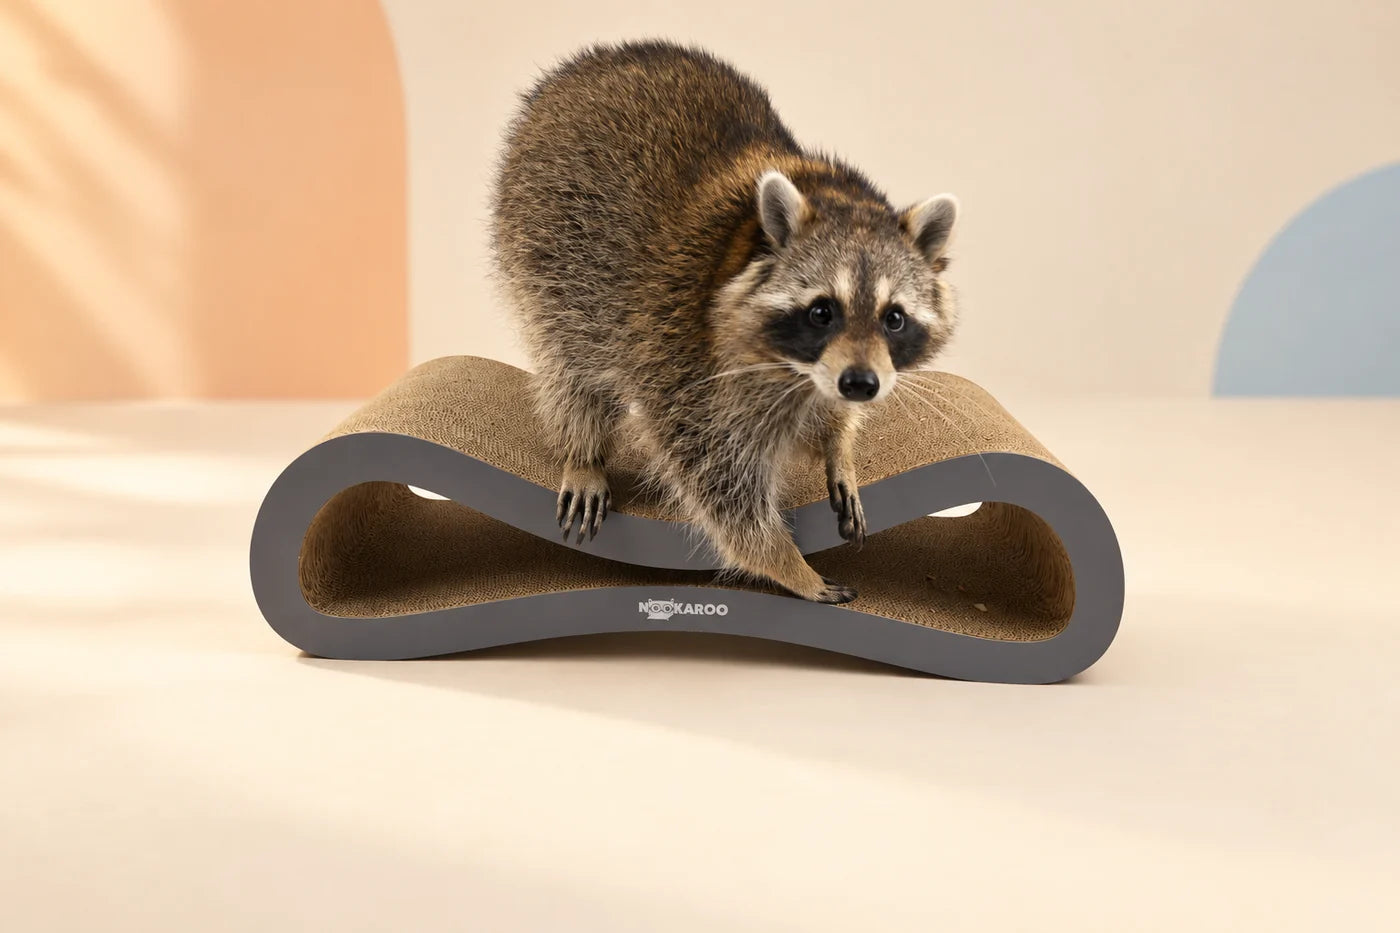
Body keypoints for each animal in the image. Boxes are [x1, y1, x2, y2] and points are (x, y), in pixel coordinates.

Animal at [491, 40, 959, 603]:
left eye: (894, 318)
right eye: (822, 312)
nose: (861, 385)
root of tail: (587, 65)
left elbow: (827, 415)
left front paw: (839, 446)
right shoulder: (679, 344)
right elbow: (716, 479)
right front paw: (784, 561)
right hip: (548, 241)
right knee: (570, 359)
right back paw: (583, 452)